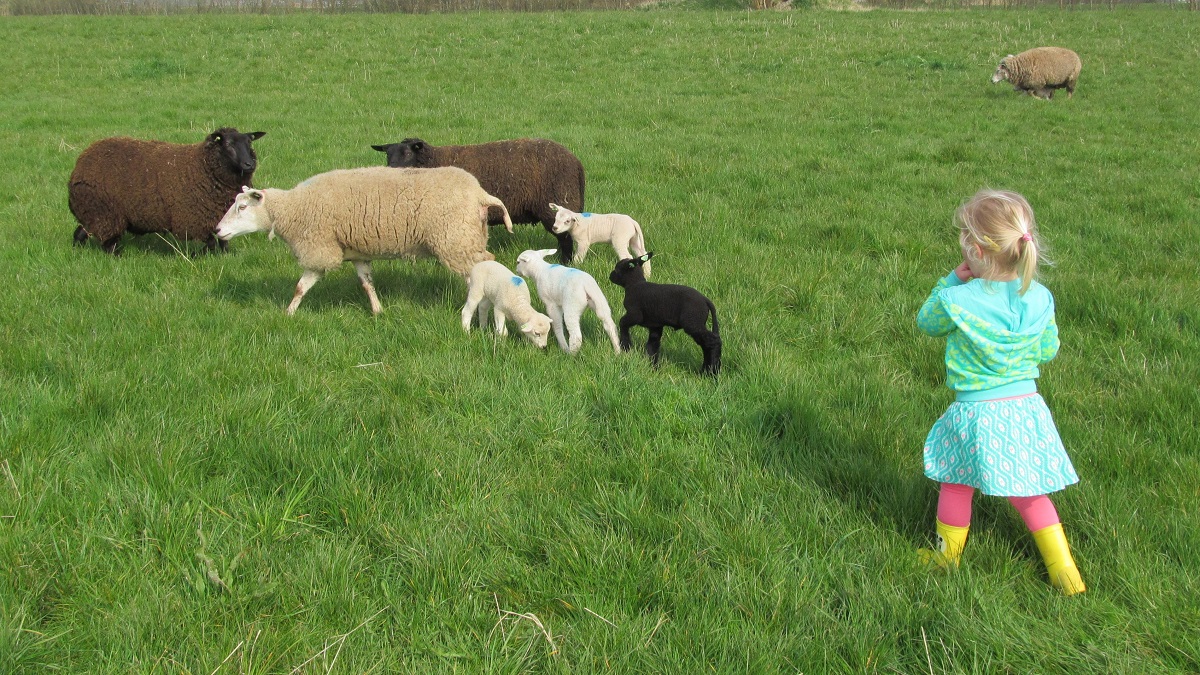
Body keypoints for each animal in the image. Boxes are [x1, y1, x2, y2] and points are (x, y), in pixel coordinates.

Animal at [66, 126, 268, 252]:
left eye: (249, 143)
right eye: (228, 144)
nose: (249, 164)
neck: (202, 166)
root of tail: (80, 164)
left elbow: (223, 241)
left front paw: (224, 256)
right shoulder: (192, 220)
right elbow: (210, 243)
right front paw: (195, 255)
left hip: (94, 212)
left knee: (80, 233)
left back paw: (77, 251)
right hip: (105, 212)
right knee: (108, 243)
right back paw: (118, 257)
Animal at [216, 166, 511, 317]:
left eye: (242, 207)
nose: (218, 231)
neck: (294, 208)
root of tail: (480, 193)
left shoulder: (321, 249)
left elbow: (301, 286)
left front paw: (288, 313)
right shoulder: (357, 254)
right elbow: (367, 283)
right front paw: (378, 311)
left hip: (456, 240)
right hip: (466, 239)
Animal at [369, 135, 585, 263]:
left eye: (407, 153)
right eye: (387, 155)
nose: (390, 171)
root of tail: (576, 162)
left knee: (565, 239)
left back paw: (564, 262)